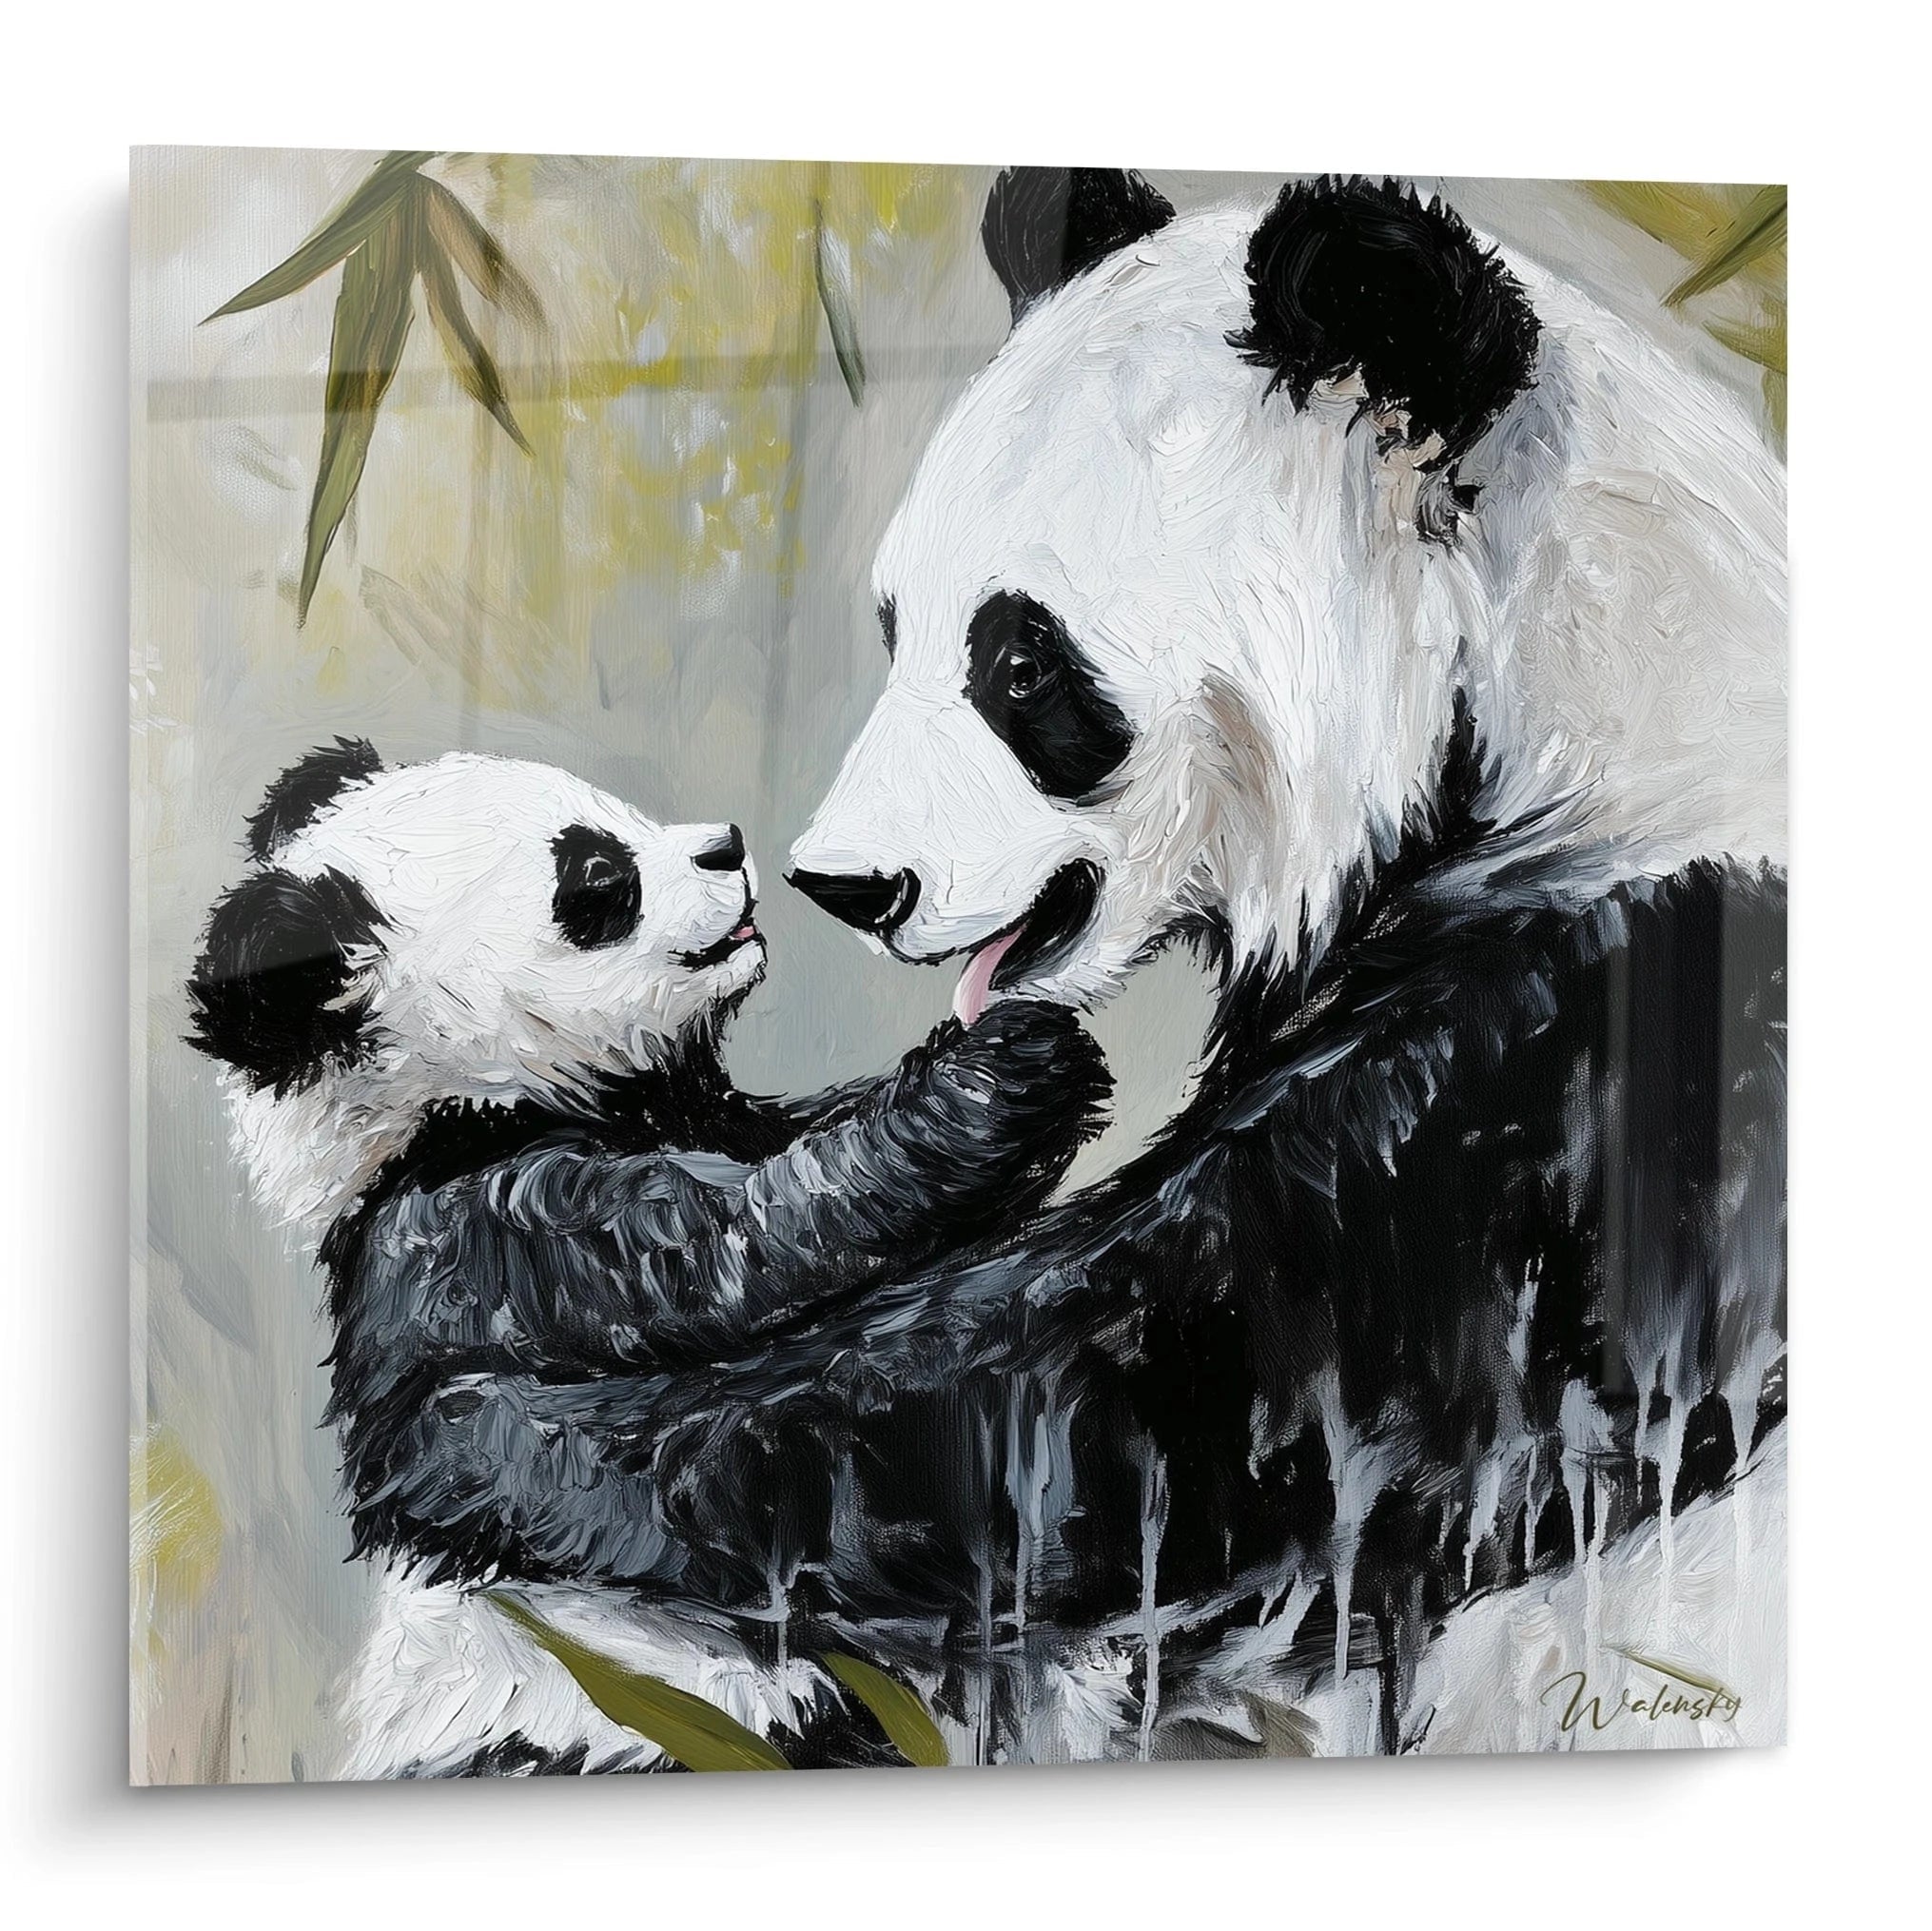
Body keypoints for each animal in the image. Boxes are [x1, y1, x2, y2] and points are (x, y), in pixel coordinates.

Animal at [185, 739, 1109, 1775]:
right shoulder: (483, 1236)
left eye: (616, 814)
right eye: (597, 882)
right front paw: (1000, 1077)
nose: (728, 845)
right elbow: (729, 1245)